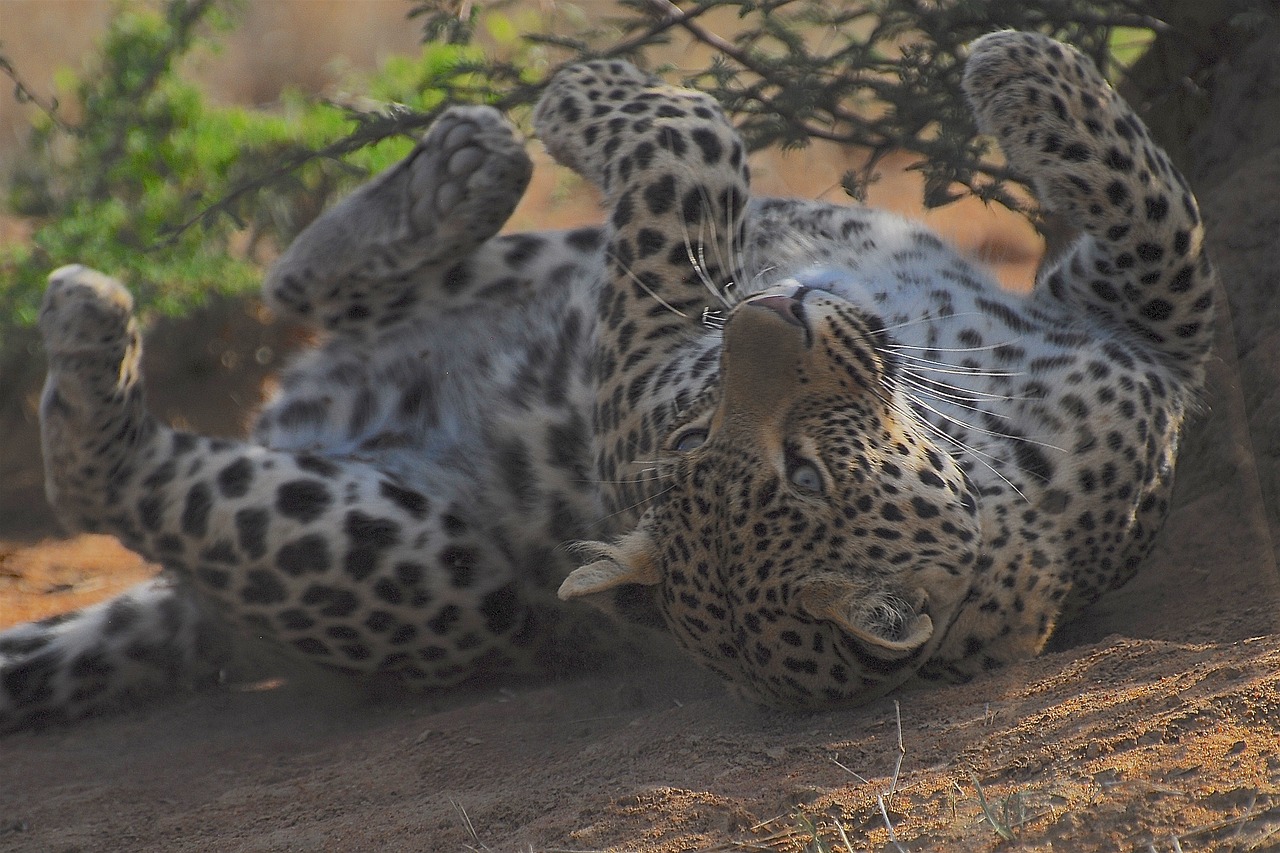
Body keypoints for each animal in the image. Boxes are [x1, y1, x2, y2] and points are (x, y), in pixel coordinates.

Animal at [0, 31, 1213, 722]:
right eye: (694, 437)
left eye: (804, 474)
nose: (766, 309)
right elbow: (1165, 222)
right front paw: (1033, 70)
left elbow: (1176, 244)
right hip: (526, 308)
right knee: (299, 293)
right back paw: (450, 174)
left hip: (414, 556)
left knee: (119, 465)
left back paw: (93, 325)